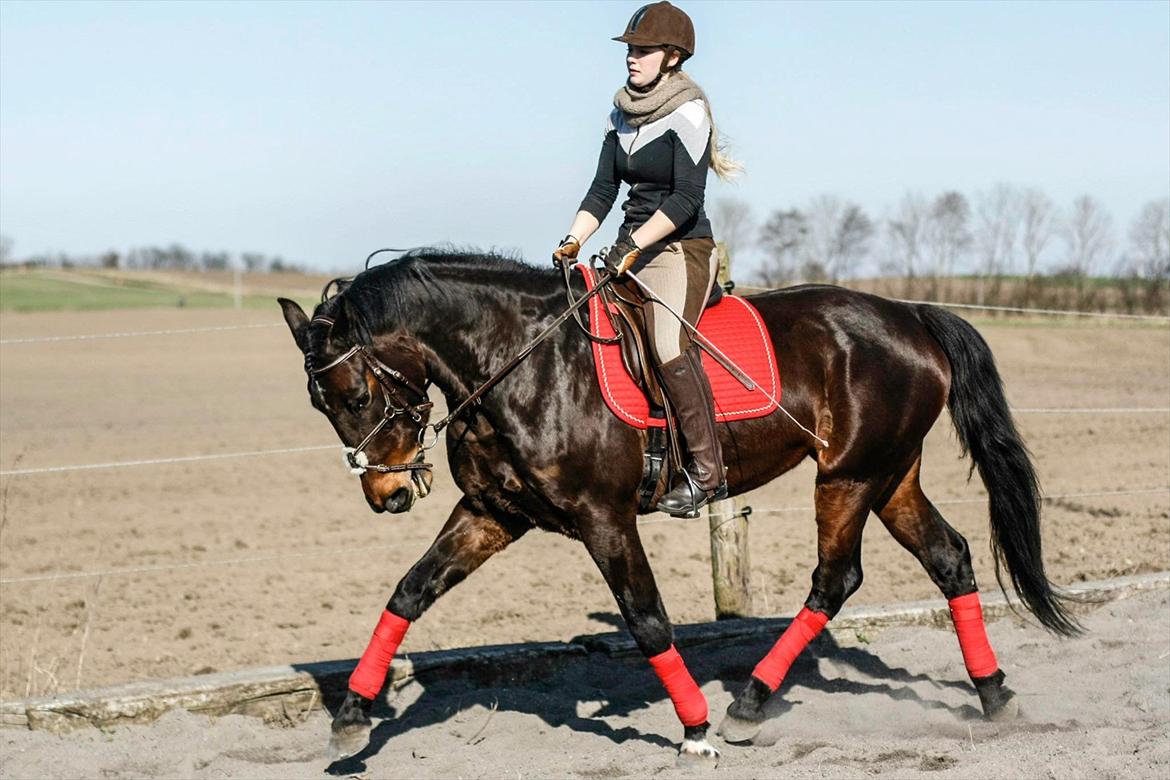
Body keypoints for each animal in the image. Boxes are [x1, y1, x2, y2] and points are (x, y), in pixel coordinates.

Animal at [276, 249, 1076, 762]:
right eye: (318, 404)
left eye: (355, 395)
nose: (387, 493)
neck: (520, 361)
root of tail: (910, 313)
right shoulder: (492, 514)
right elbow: (408, 593)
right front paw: (351, 717)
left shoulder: (604, 518)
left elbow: (647, 619)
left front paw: (694, 730)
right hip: (889, 475)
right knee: (949, 558)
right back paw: (994, 696)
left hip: (848, 478)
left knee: (835, 579)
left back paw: (748, 703)